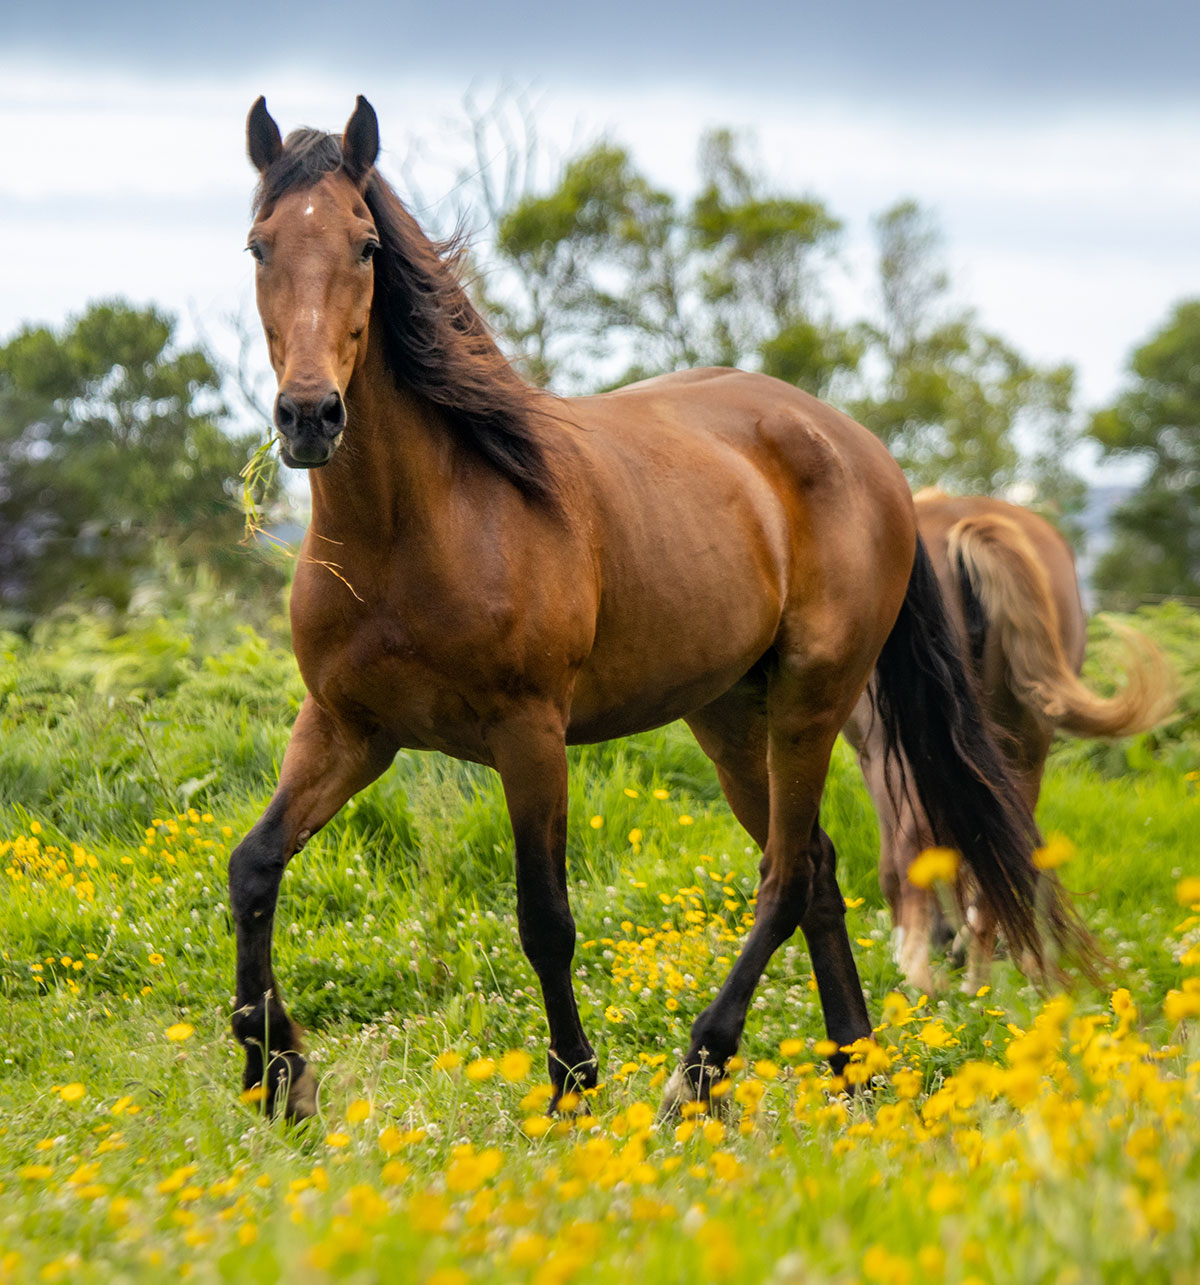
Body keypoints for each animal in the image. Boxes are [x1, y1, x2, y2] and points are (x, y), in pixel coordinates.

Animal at [228, 95, 1087, 1120]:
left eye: (363, 246)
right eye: (259, 245)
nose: (309, 416)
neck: (418, 525)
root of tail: (864, 450)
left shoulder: (529, 734)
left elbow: (545, 919)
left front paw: (572, 1085)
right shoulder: (348, 727)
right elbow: (254, 864)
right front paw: (275, 1074)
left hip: (811, 701)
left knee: (785, 879)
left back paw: (701, 1070)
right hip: (730, 716)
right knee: (817, 868)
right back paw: (854, 1066)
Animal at [845, 491, 1175, 993]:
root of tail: (965, 520)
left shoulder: (878, 756)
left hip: (901, 747)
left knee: (912, 843)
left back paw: (919, 976)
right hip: (1023, 747)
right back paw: (976, 981)